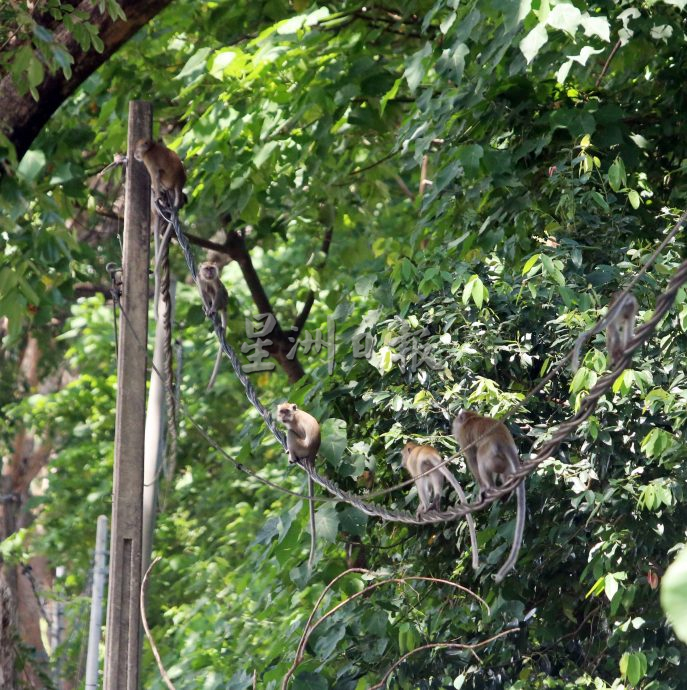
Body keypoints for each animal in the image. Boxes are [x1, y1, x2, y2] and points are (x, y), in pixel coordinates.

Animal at [276, 400, 322, 568]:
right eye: (281, 411)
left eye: (286, 411)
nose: (282, 417)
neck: (295, 415)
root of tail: (312, 455)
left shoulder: (294, 424)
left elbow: (292, 430)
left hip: (302, 447)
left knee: (290, 434)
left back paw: (293, 457)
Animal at [400, 440, 482, 568]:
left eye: (403, 455)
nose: (402, 462)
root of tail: (429, 452)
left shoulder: (412, 465)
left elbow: (422, 485)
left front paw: (420, 508)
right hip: (433, 466)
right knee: (436, 477)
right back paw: (436, 502)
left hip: (420, 465)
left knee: (421, 482)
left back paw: (425, 508)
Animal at [452, 408, 528, 580]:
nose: (453, 428)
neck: (472, 418)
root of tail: (504, 441)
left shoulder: (465, 437)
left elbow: (472, 459)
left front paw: (482, 488)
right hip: (503, 460)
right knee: (505, 471)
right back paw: (506, 489)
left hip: (489, 452)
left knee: (480, 456)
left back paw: (489, 488)